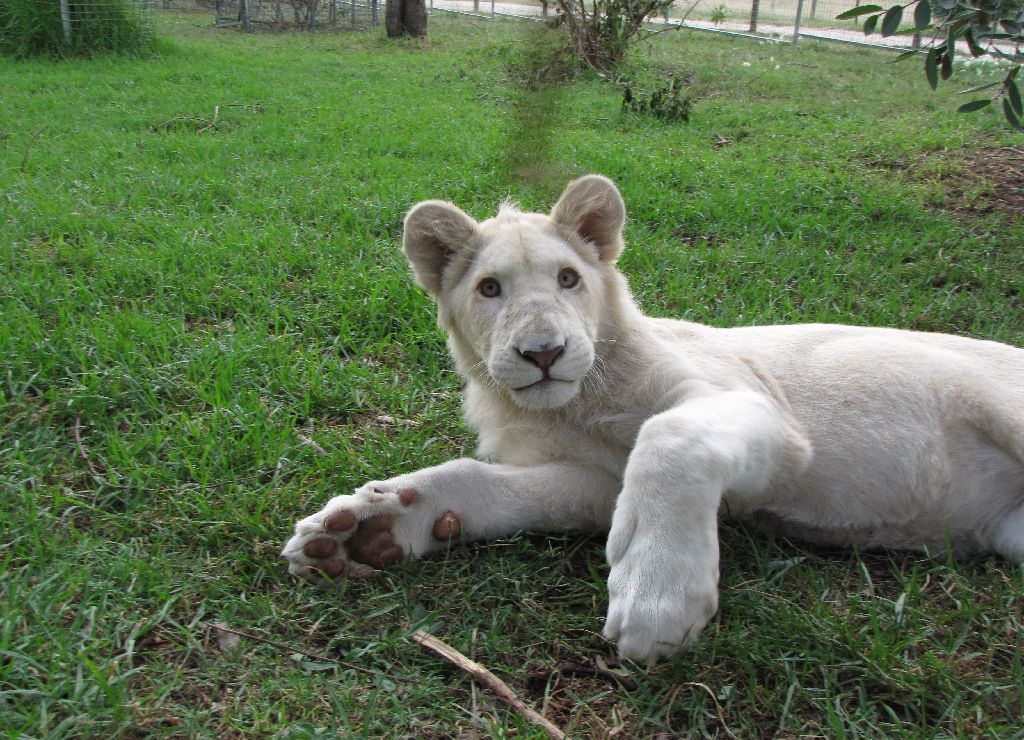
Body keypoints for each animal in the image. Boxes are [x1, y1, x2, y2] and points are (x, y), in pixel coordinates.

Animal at [282, 175, 1024, 665]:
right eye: (490, 289)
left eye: (568, 279)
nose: (543, 353)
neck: (577, 405)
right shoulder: (595, 480)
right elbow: (481, 481)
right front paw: (370, 526)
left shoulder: (759, 410)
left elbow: (668, 437)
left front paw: (657, 595)